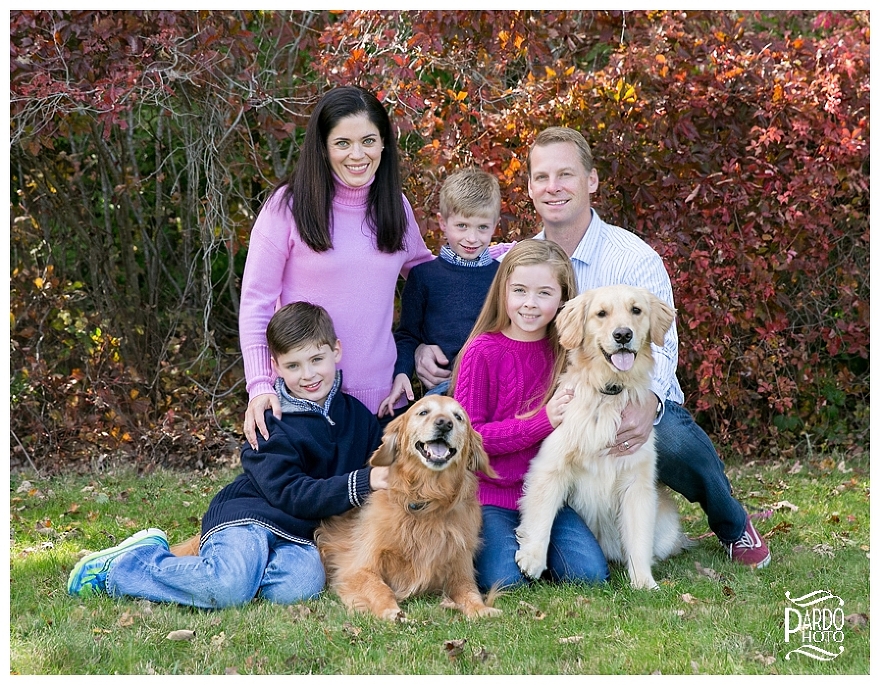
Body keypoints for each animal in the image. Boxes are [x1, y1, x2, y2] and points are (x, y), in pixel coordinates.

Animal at [314, 392, 502, 624]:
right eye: (423, 412)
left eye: (458, 417)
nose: (444, 423)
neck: (426, 499)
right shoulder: (357, 567)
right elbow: (379, 588)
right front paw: (391, 611)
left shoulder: (461, 567)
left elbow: (469, 591)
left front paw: (480, 609)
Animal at [512, 284, 692, 588]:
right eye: (601, 314)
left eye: (636, 310)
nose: (623, 335)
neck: (609, 391)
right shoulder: (550, 466)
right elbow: (541, 514)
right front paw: (532, 558)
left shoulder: (636, 481)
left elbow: (639, 536)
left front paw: (644, 581)